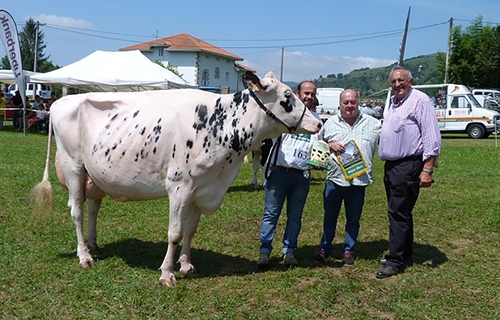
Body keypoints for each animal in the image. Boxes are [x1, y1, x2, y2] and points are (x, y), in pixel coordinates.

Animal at [32, 72, 320, 288]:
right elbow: (175, 233)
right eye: (286, 97)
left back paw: (94, 245)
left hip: (95, 175)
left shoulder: (202, 188)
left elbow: (190, 231)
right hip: (73, 166)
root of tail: (61, 101)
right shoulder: (180, 186)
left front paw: (186, 265)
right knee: (77, 211)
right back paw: (84, 256)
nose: (317, 124)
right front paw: (167, 273)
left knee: (93, 209)